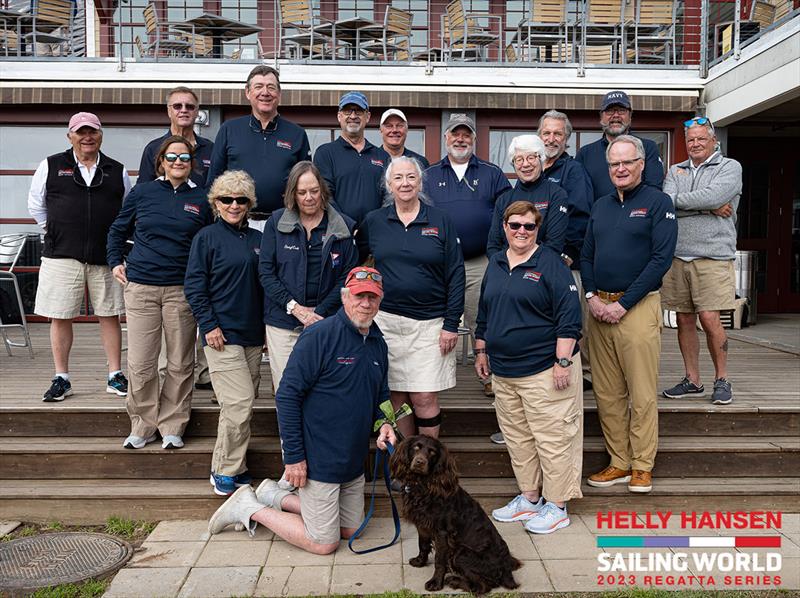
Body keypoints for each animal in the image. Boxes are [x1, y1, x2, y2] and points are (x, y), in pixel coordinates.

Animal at [390, 436, 520, 596]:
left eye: (432, 452)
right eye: (416, 447)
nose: (420, 462)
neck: (423, 486)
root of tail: (506, 568)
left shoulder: (442, 533)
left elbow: (439, 560)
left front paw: (435, 583)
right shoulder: (423, 525)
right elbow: (423, 545)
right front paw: (420, 561)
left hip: (461, 553)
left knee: (482, 586)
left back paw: (454, 580)